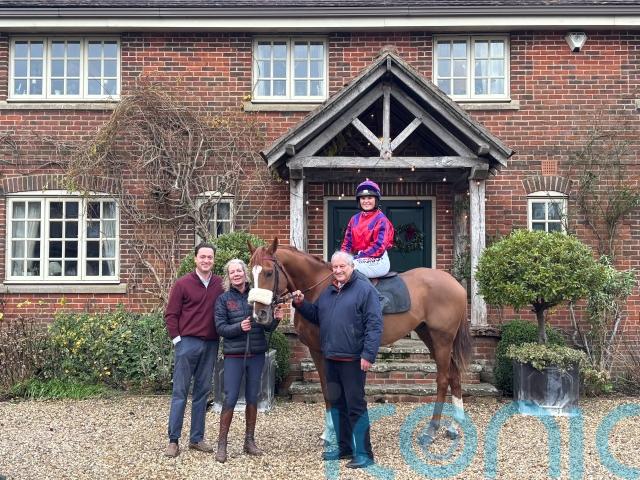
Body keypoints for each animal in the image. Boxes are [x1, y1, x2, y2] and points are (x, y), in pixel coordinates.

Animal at [248, 237, 471, 446]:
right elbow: (327, 390)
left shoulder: (325, 351)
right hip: (429, 336)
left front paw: (334, 433)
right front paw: (331, 432)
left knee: (443, 379)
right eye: (251, 273)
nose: (260, 314)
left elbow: (333, 390)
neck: (321, 289)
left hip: (442, 339)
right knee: (454, 374)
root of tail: (456, 284)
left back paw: (431, 430)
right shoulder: (316, 351)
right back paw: (454, 426)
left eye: (268, 272)